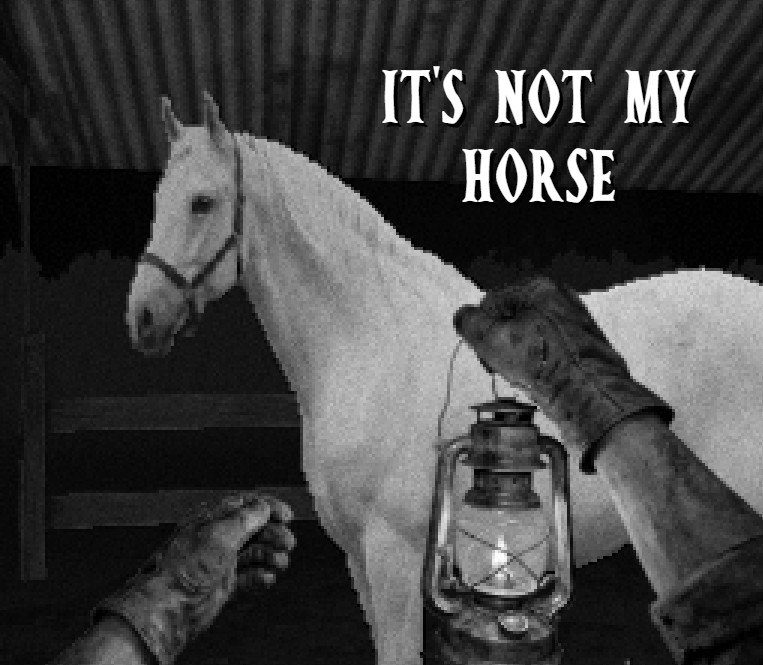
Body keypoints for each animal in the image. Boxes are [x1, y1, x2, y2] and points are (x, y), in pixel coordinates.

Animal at [126, 93, 763, 665]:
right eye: (157, 202)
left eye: (202, 202)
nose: (143, 317)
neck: (370, 341)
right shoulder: (361, 562)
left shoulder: (393, 556)